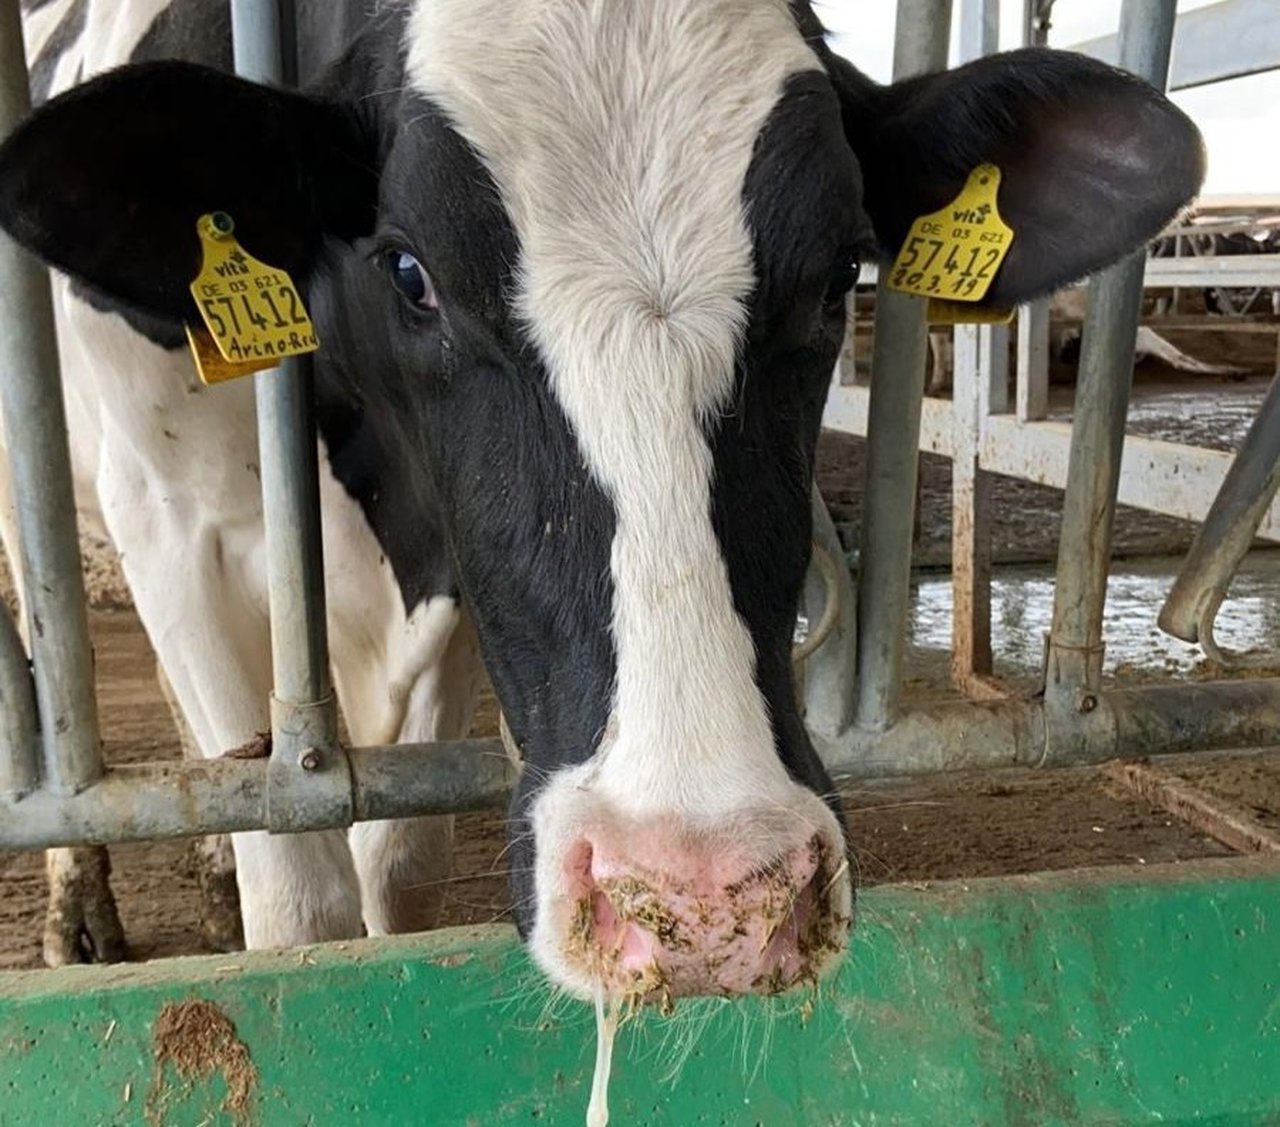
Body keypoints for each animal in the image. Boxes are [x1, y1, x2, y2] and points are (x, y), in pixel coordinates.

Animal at [0, 0, 1203, 1000]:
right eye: (409, 272)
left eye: (839, 278)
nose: (703, 896)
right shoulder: (174, 525)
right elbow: (298, 891)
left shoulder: (455, 591)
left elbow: (397, 861)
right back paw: (80, 910)